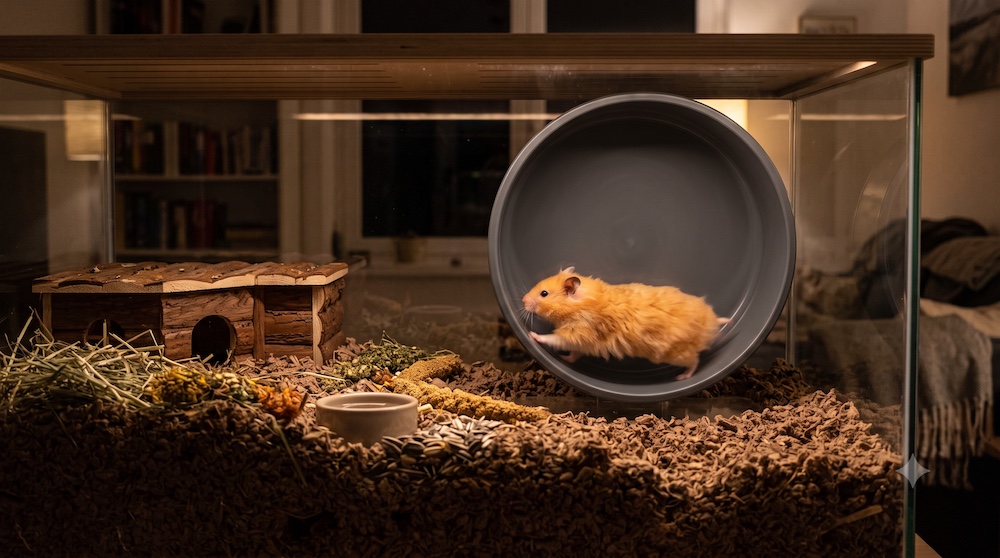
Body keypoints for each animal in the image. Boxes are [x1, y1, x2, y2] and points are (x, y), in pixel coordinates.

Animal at [521, 267, 729, 380]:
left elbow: (554, 339)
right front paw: (564, 359)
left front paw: (532, 335)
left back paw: (682, 377)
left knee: (695, 361)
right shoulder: (582, 344)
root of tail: (709, 323)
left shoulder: (578, 334)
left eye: (544, 294)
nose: (522, 300)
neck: (582, 303)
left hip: (678, 354)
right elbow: (573, 355)